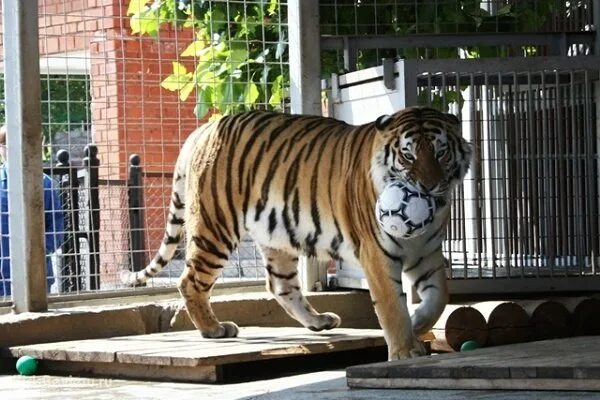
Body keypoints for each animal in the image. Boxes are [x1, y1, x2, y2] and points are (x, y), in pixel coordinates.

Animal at [119, 105, 472, 360]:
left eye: (441, 152)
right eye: (408, 155)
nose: (429, 186)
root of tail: (204, 129)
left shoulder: (427, 252)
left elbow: (439, 297)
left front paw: (418, 322)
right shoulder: (377, 253)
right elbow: (391, 305)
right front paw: (405, 350)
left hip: (276, 236)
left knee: (280, 285)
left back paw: (319, 321)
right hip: (215, 226)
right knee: (190, 280)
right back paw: (214, 329)